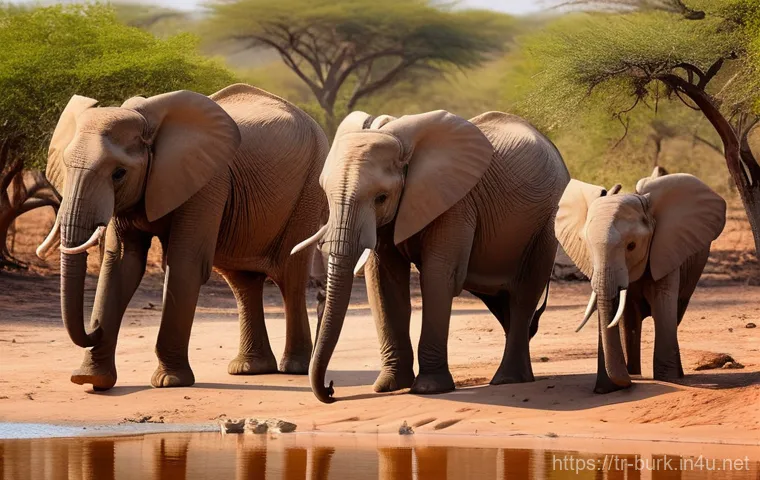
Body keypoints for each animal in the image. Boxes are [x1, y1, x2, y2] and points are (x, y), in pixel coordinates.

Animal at [36, 83, 328, 390]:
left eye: (119, 173)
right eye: (66, 165)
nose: (95, 329)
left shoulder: (207, 181)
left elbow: (184, 262)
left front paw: (169, 381)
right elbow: (122, 263)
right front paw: (90, 379)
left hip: (309, 190)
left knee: (290, 276)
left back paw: (294, 367)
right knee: (243, 282)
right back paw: (250, 369)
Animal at [292, 110, 570, 402]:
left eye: (381, 197)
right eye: (325, 193)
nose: (331, 389)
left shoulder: (455, 203)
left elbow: (438, 275)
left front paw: (429, 388)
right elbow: (383, 280)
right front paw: (390, 386)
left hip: (546, 224)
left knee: (523, 296)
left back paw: (508, 380)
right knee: (501, 301)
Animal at [555, 171, 726, 393]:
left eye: (631, 246)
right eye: (587, 246)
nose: (627, 384)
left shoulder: (666, 248)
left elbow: (663, 302)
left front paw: (668, 378)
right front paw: (610, 386)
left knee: (676, 311)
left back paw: (673, 374)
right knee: (629, 319)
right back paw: (634, 371)